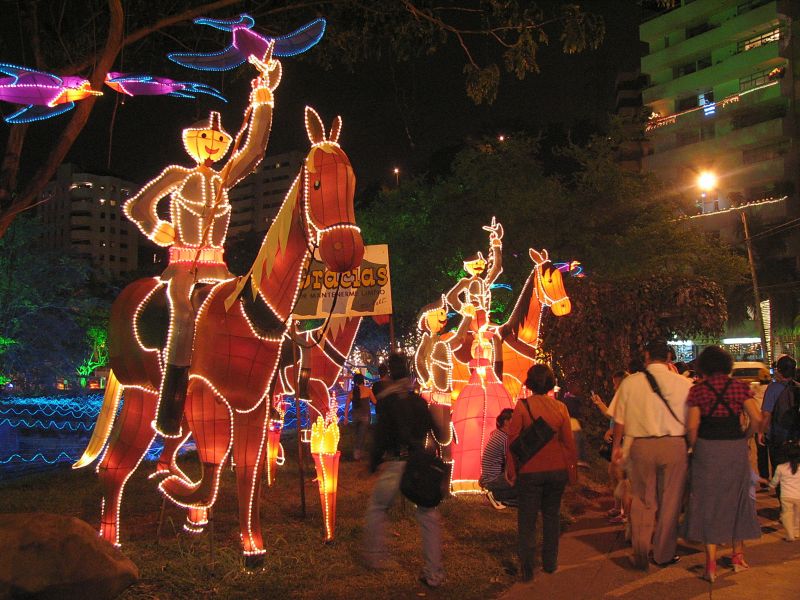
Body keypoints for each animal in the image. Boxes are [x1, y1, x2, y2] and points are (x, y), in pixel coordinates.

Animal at [74, 106, 362, 563]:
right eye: (316, 182)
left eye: (350, 183)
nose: (346, 250)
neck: (251, 311)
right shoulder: (204, 395)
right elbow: (212, 465)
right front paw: (183, 495)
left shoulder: (254, 405)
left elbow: (246, 471)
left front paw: (252, 544)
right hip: (144, 393)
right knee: (116, 465)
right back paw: (112, 540)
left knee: (128, 463)